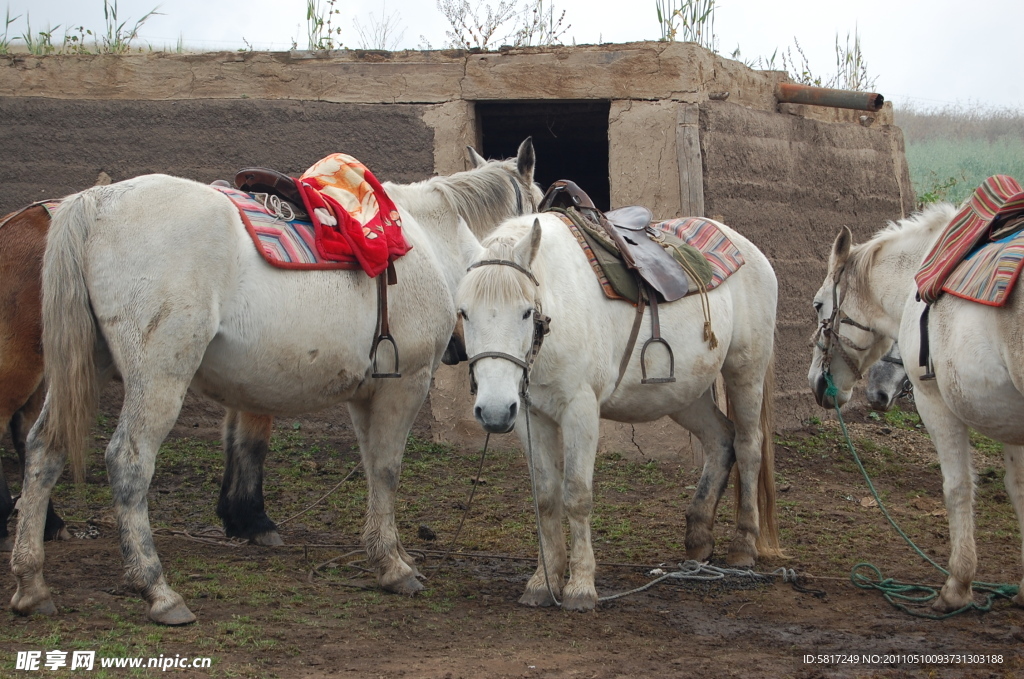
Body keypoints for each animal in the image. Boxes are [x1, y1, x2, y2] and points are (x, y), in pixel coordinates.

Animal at [12, 140, 540, 622]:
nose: (460, 347)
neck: (427, 240)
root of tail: (96, 202)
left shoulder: (365, 393)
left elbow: (373, 469)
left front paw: (388, 553)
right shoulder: (404, 384)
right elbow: (389, 470)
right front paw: (394, 567)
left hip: (86, 367)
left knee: (43, 450)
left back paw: (31, 584)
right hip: (158, 377)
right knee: (128, 461)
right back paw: (157, 590)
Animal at [452, 216, 778, 610]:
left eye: (526, 311)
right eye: (464, 312)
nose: (494, 411)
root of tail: (747, 247)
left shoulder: (580, 411)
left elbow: (576, 496)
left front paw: (580, 587)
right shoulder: (532, 417)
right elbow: (545, 498)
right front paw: (543, 582)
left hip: (745, 373)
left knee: (748, 447)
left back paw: (743, 544)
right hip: (685, 395)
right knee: (720, 440)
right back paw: (699, 538)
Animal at [806, 204, 1024, 614]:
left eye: (818, 304)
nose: (816, 382)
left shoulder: (934, 402)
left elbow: (958, 486)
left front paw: (957, 587)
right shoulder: (1009, 421)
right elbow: (1018, 489)